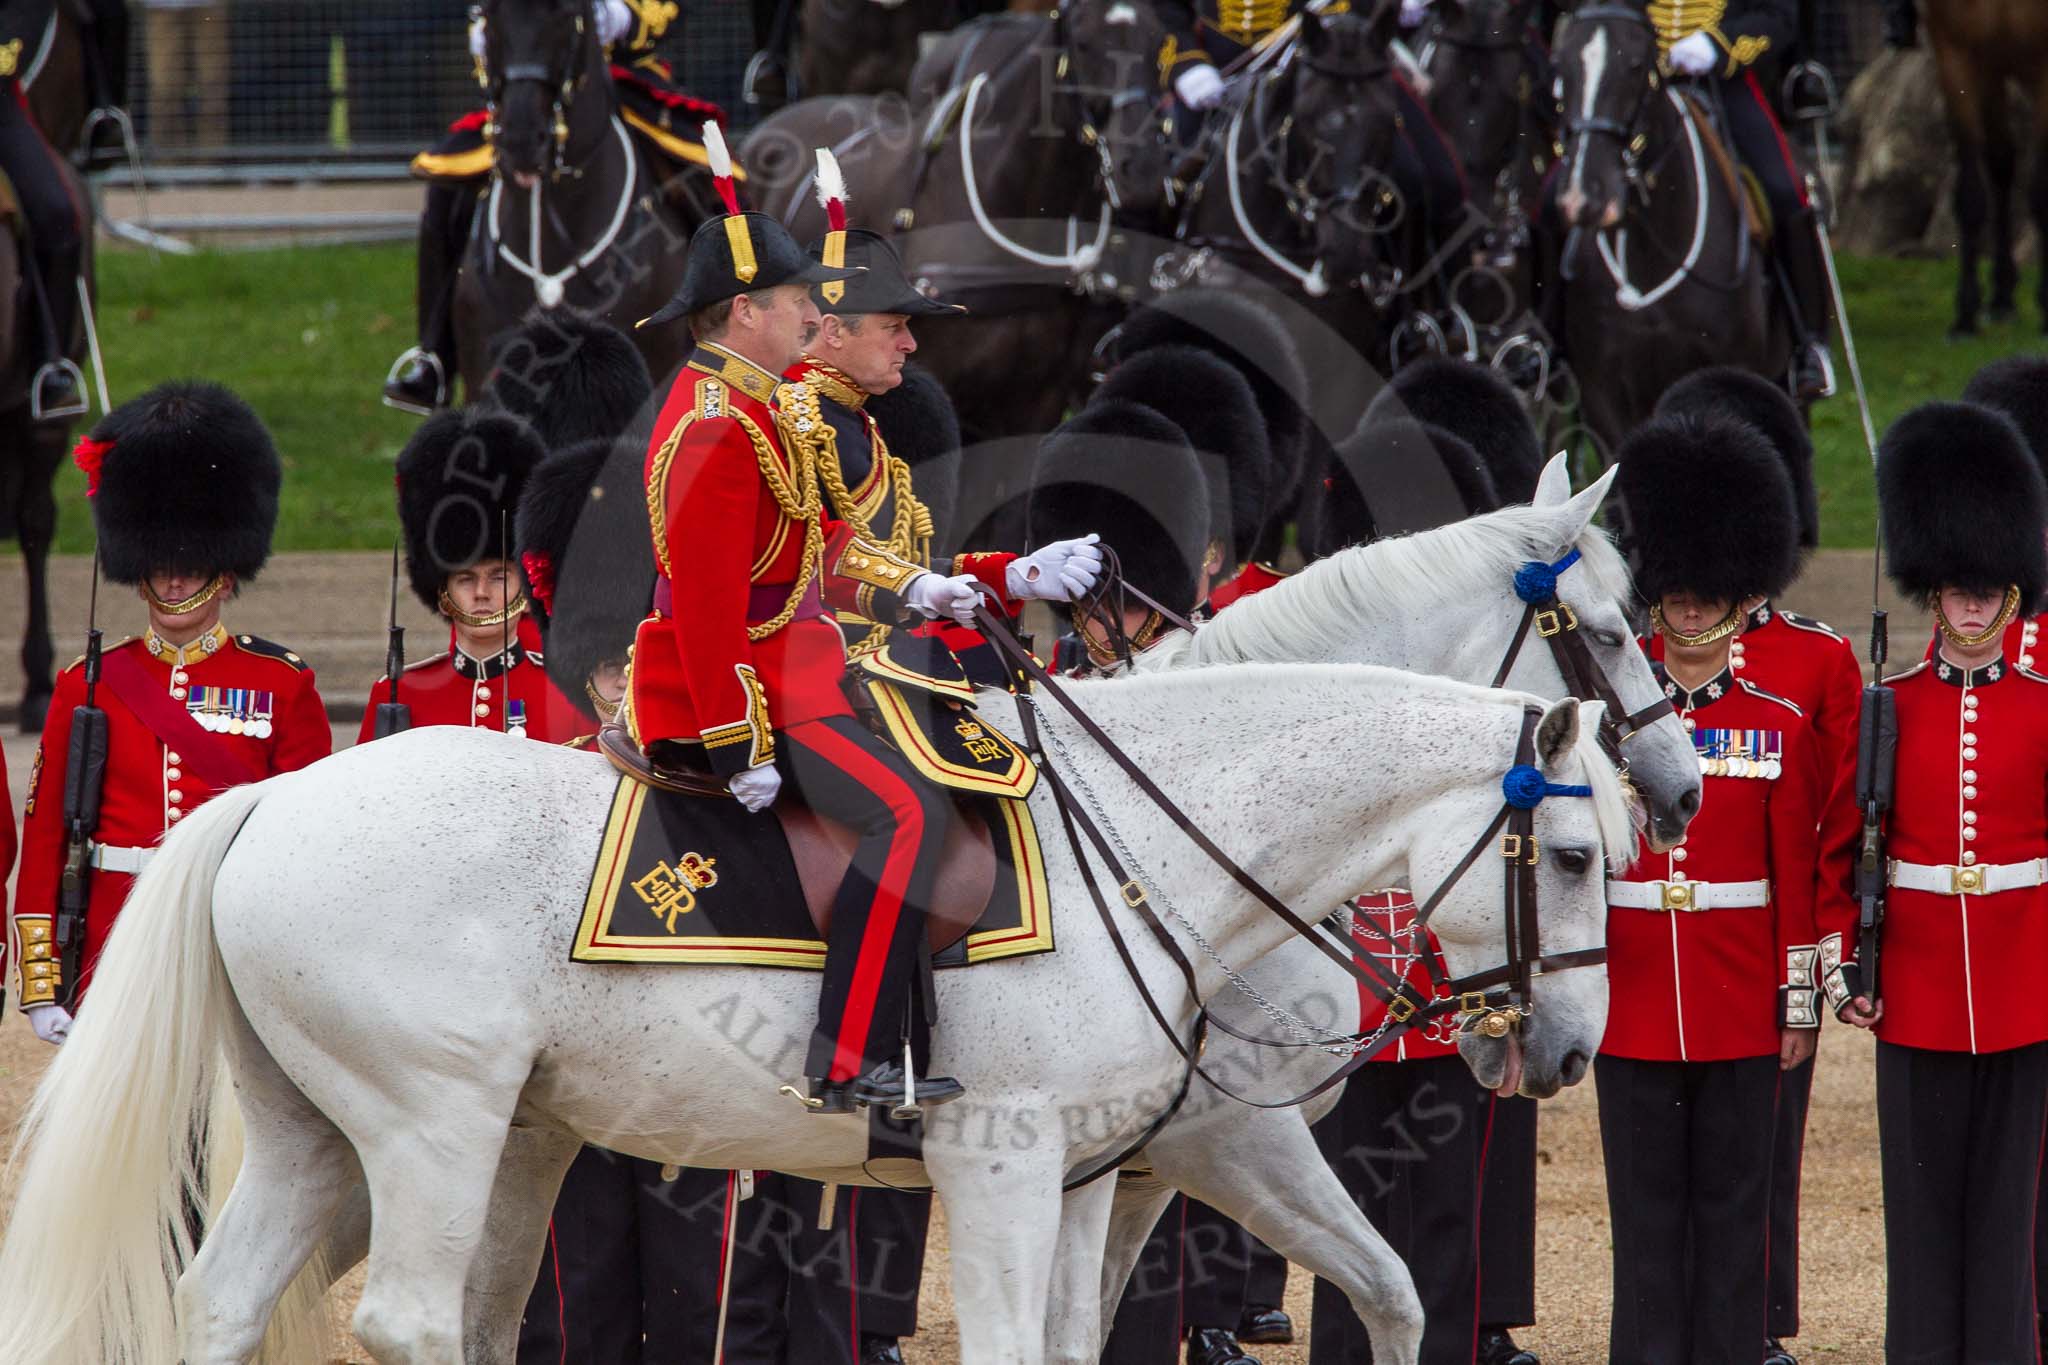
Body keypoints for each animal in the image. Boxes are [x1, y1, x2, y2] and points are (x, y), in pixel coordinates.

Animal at [0, 658, 1630, 1358]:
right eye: (1569, 855)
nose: (1563, 1053)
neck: (1140, 844)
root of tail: (275, 794)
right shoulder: (1010, 1161)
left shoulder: (1098, 1173)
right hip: (431, 1128)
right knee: (412, 1318)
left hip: (323, 1138)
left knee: (224, 1302)